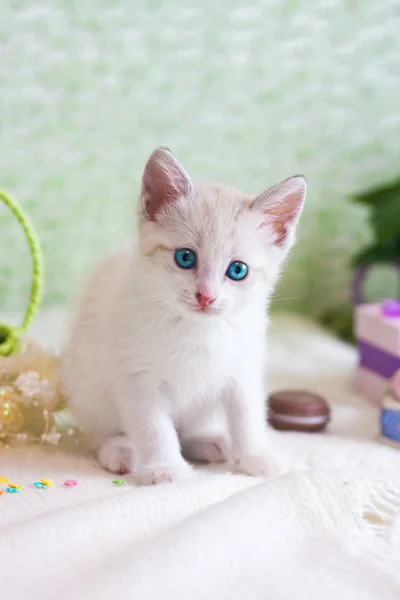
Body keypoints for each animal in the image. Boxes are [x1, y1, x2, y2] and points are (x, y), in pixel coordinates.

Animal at [60, 148, 306, 486]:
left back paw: (209, 442)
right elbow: (153, 426)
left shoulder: (242, 368)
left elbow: (248, 415)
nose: (206, 296)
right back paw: (120, 449)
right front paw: (165, 468)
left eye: (237, 270)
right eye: (185, 257)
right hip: (86, 384)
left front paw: (256, 455)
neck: (198, 330)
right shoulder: (134, 375)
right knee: (101, 431)